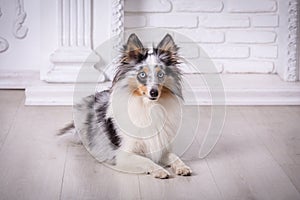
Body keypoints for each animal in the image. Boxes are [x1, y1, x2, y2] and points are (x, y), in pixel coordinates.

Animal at [60, 33, 192, 179]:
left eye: (161, 74)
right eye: (142, 74)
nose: (154, 92)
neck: (147, 107)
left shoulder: (161, 148)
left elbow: (174, 156)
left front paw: (182, 167)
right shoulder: (123, 154)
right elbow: (146, 160)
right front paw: (159, 170)